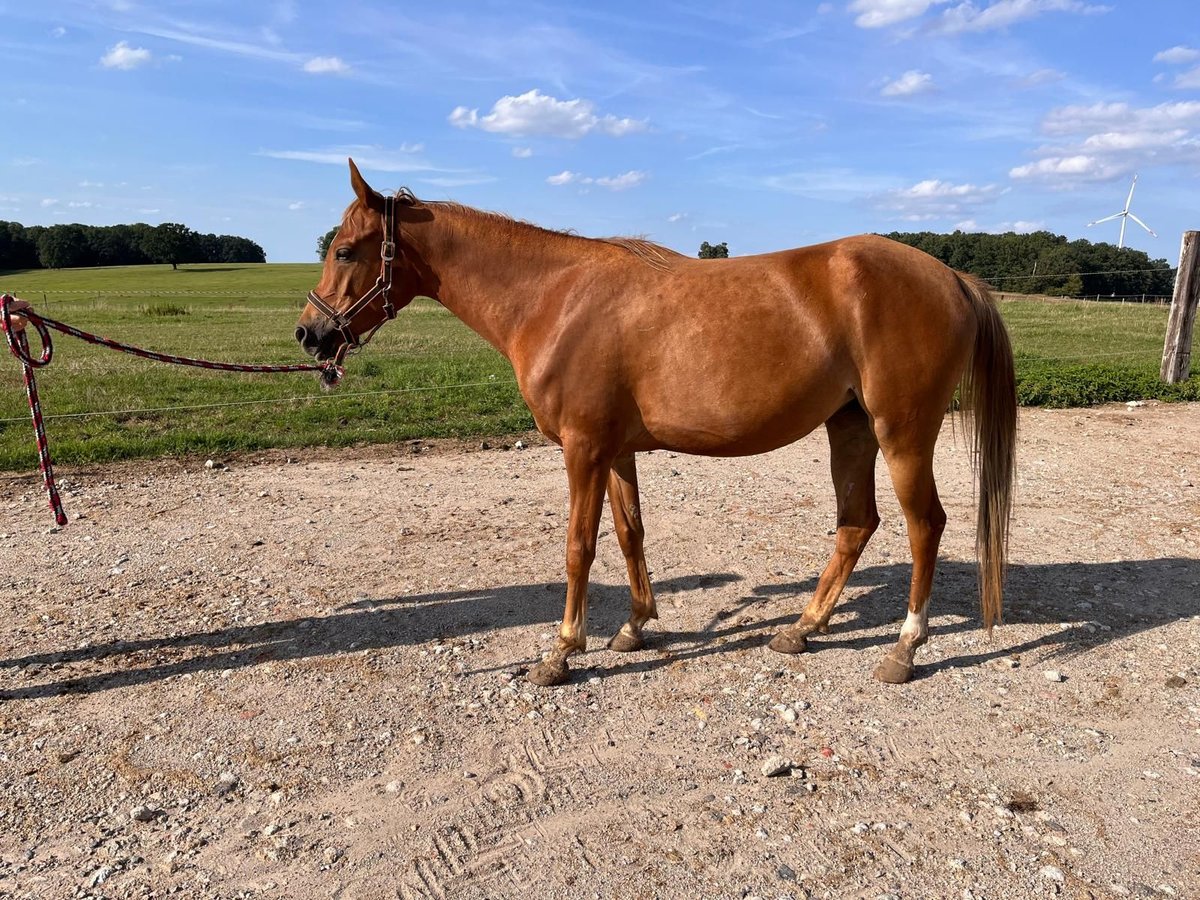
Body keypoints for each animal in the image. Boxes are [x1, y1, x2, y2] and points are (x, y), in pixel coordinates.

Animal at [297, 162, 1012, 686]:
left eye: (346, 250)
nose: (310, 334)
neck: (555, 298)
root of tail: (951, 275)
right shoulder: (615, 451)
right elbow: (629, 533)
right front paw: (635, 626)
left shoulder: (583, 450)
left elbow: (579, 547)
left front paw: (561, 651)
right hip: (851, 427)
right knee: (856, 523)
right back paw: (802, 628)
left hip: (901, 434)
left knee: (924, 526)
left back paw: (904, 647)